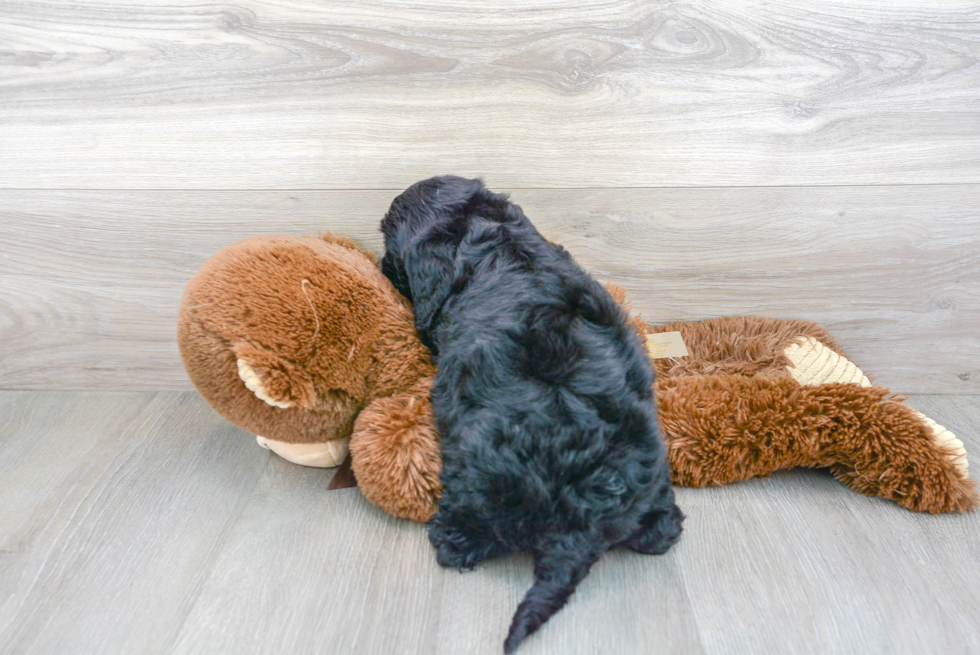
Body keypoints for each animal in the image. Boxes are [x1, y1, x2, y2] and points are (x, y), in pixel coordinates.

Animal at [380, 177, 680, 652]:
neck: (491, 234)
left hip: (478, 477)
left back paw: (451, 537)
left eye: (389, 245)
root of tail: (583, 522)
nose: (379, 264)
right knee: (664, 529)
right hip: (653, 484)